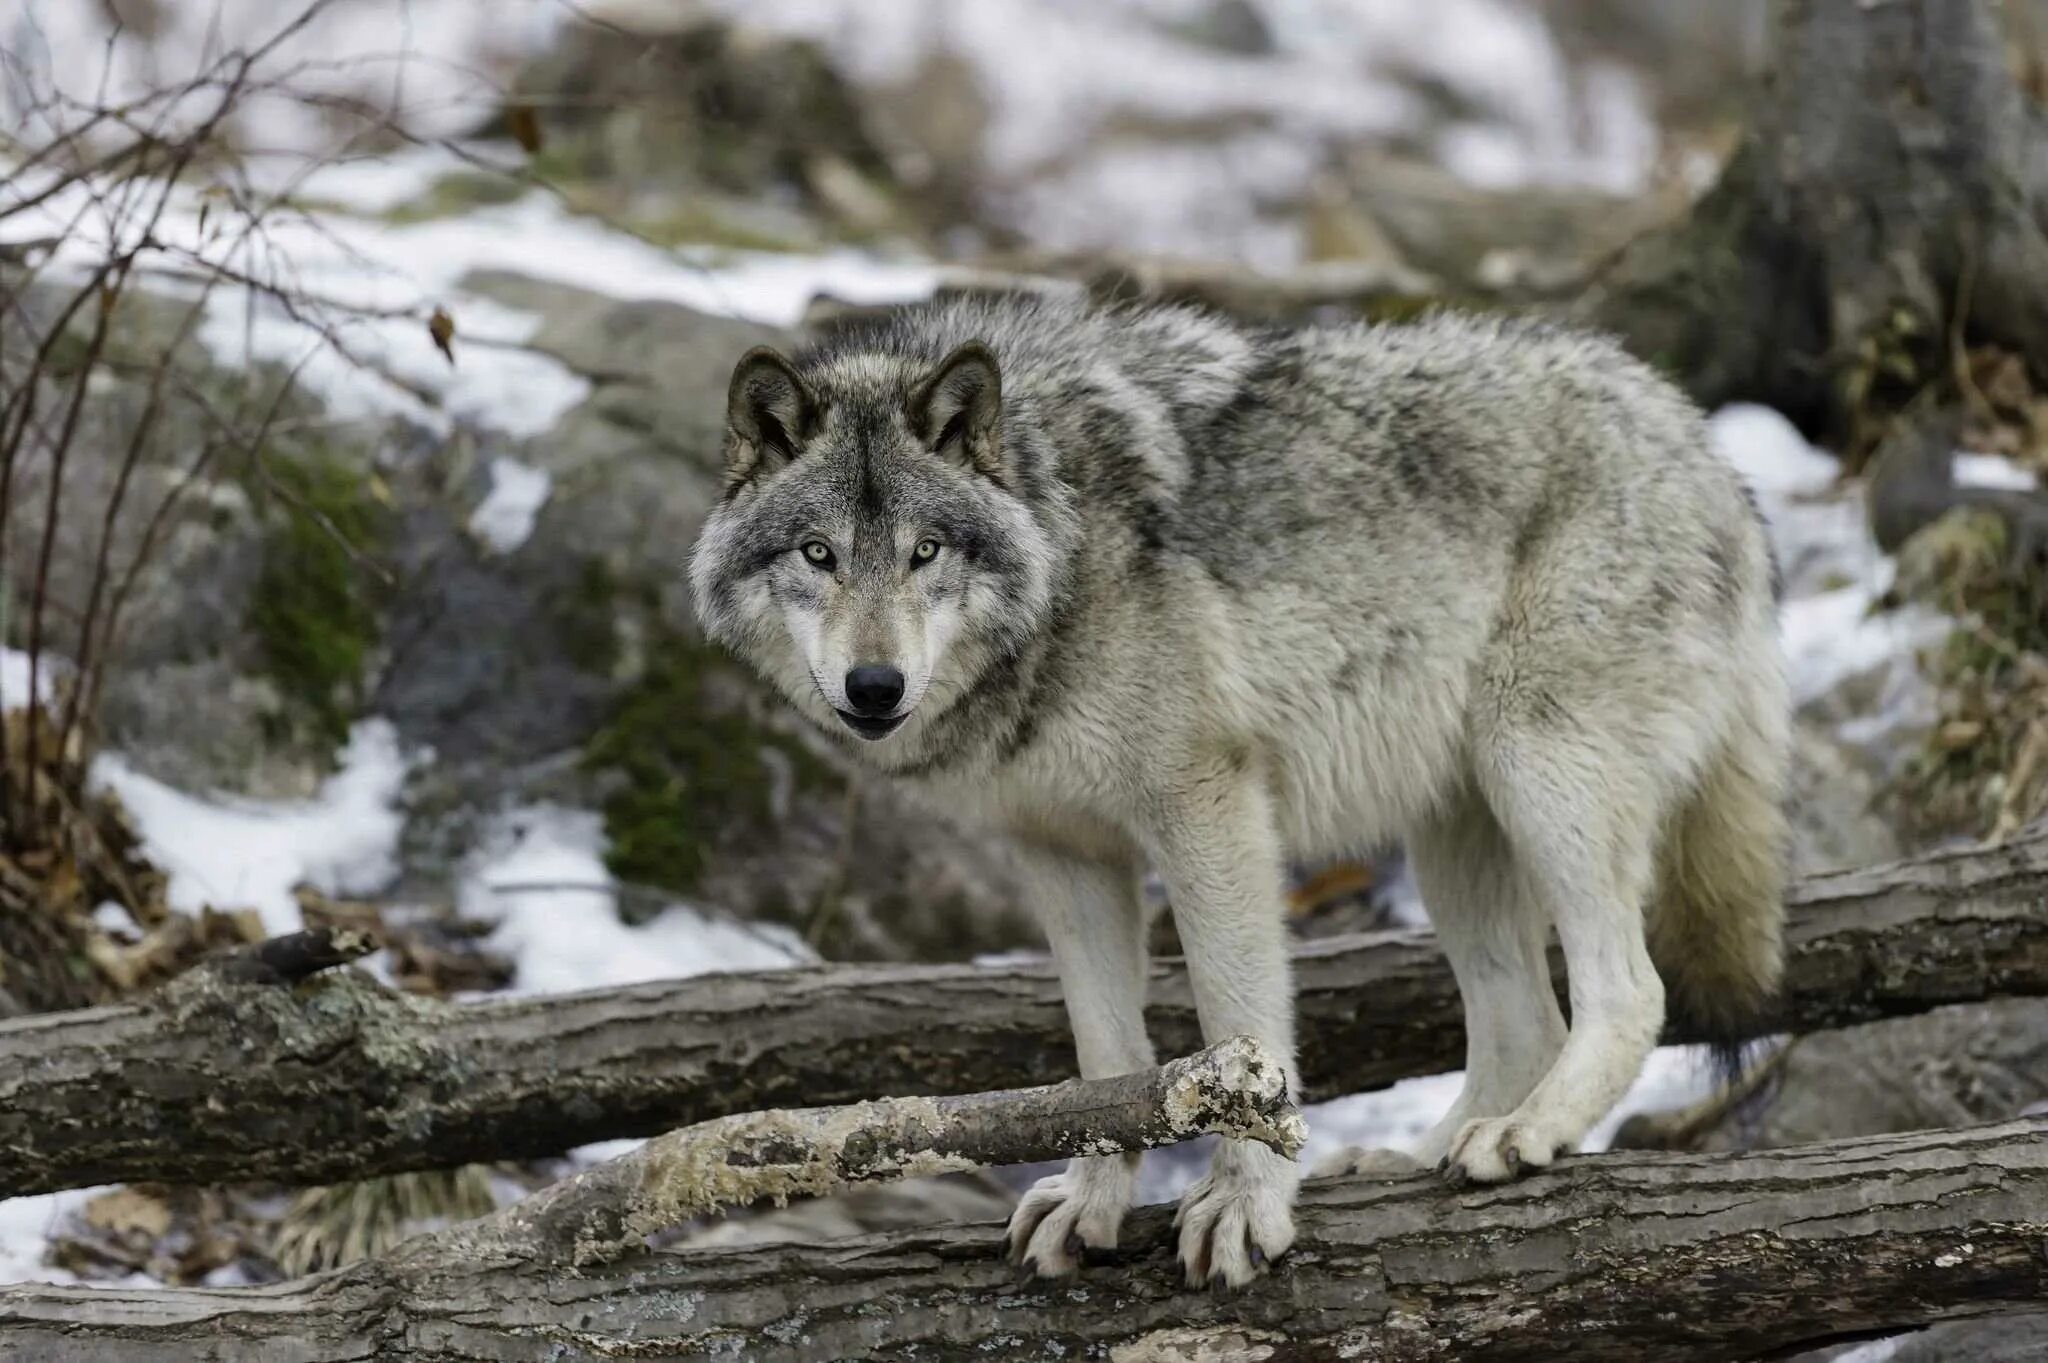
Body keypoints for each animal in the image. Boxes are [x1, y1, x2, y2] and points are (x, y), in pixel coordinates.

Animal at [684, 288, 1777, 1285]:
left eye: (925, 552)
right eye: (818, 554)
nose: (874, 686)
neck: (1064, 543)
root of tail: (1697, 436)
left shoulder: (1207, 814)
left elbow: (1237, 1026)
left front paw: (1245, 1205)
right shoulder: (1064, 854)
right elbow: (1105, 1054)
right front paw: (1092, 1203)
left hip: (1539, 773)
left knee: (1627, 991)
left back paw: (1525, 1134)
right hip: (1452, 837)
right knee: (1524, 1021)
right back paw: (1418, 1155)